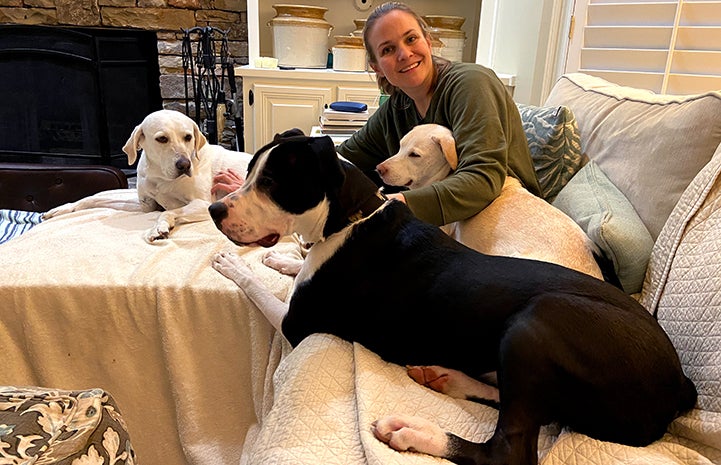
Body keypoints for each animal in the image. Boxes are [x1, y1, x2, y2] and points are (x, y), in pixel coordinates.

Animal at [44, 109, 253, 243]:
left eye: (188, 137)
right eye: (162, 139)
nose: (185, 165)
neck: (161, 177)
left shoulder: (203, 204)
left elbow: (168, 212)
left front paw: (160, 228)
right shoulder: (146, 205)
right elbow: (95, 199)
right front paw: (62, 208)